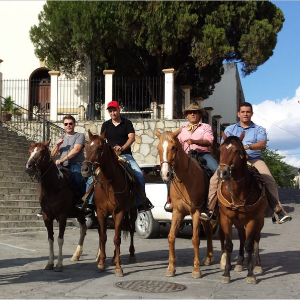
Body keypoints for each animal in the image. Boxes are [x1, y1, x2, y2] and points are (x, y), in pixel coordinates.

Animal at [25, 141, 87, 272]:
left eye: (42, 151)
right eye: (30, 151)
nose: (29, 166)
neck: (54, 185)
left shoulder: (62, 216)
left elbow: (60, 239)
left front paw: (59, 264)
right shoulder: (47, 216)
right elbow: (50, 239)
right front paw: (50, 262)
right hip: (79, 214)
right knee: (83, 230)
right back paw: (76, 254)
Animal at [81, 129, 137, 276]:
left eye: (99, 148)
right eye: (86, 147)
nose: (85, 169)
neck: (109, 182)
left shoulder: (119, 212)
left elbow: (116, 239)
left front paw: (118, 267)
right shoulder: (101, 213)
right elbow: (103, 237)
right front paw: (101, 263)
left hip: (132, 211)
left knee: (131, 229)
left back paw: (131, 255)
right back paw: (114, 257)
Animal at [155, 127, 216, 278]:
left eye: (174, 147)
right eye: (158, 148)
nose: (165, 174)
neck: (186, 180)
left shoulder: (195, 212)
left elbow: (195, 239)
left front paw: (196, 269)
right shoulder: (177, 212)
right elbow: (171, 237)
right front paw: (171, 267)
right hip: (204, 216)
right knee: (209, 231)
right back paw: (208, 258)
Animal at [217, 132, 268, 284]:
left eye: (236, 150)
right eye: (221, 150)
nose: (222, 173)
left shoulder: (252, 219)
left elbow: (249, 245)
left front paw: (250, 274)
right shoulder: (226, 218)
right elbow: (229, 245)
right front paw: (226, 273)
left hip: (260, 219)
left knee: (256, 239)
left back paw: (257, 265)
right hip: (238, 221)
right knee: (241, 236)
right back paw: (239, 263)